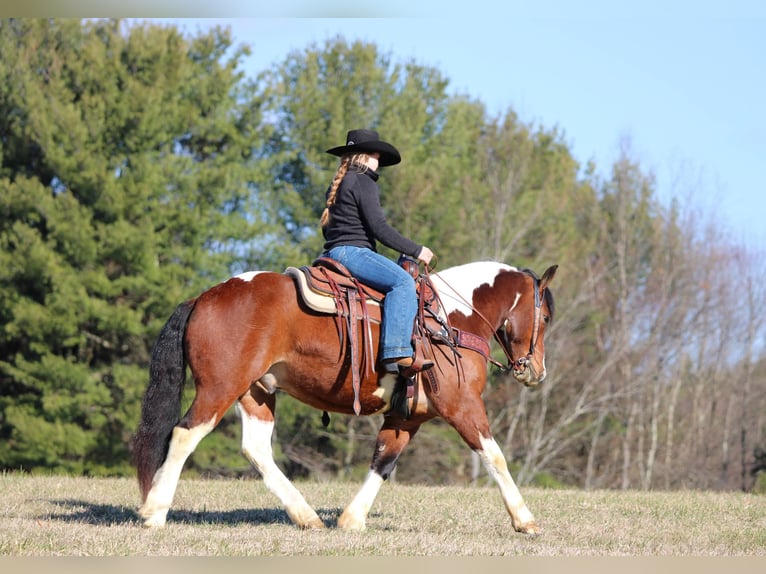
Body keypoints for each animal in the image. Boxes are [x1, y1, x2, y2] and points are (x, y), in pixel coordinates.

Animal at [131, 259, 557, 534]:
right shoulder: (462, 406)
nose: (536, 371)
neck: (451, 319)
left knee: (256, 449)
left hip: (256, 392)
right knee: (185, 434)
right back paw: (154, 511)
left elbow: (383, 461)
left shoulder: (407, 417)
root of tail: (204, 298)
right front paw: (525, 520)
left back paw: (305, 516)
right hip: (220, 388)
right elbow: (494, 456)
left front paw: (352, 519)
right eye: (546, 317)